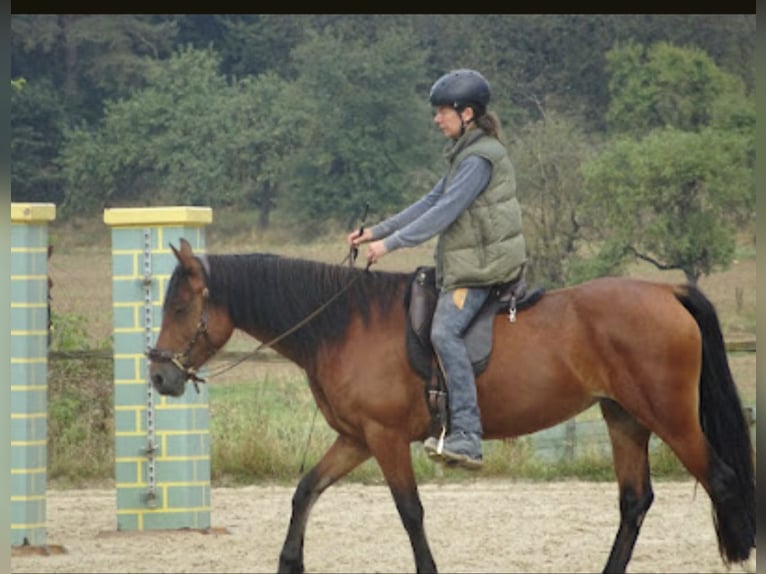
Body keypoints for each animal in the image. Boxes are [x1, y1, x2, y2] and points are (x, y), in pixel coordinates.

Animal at [148, 238, 755, 574]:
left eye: (179, 306)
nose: (157, 374)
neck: (344, 325)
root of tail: (666, 292)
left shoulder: (385, 438)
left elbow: (410, 512)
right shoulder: (356, 439)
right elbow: (305, 491)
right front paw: (289, 563)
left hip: (671, 418)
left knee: (723, 483)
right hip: (625, 418)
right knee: (634, 502)